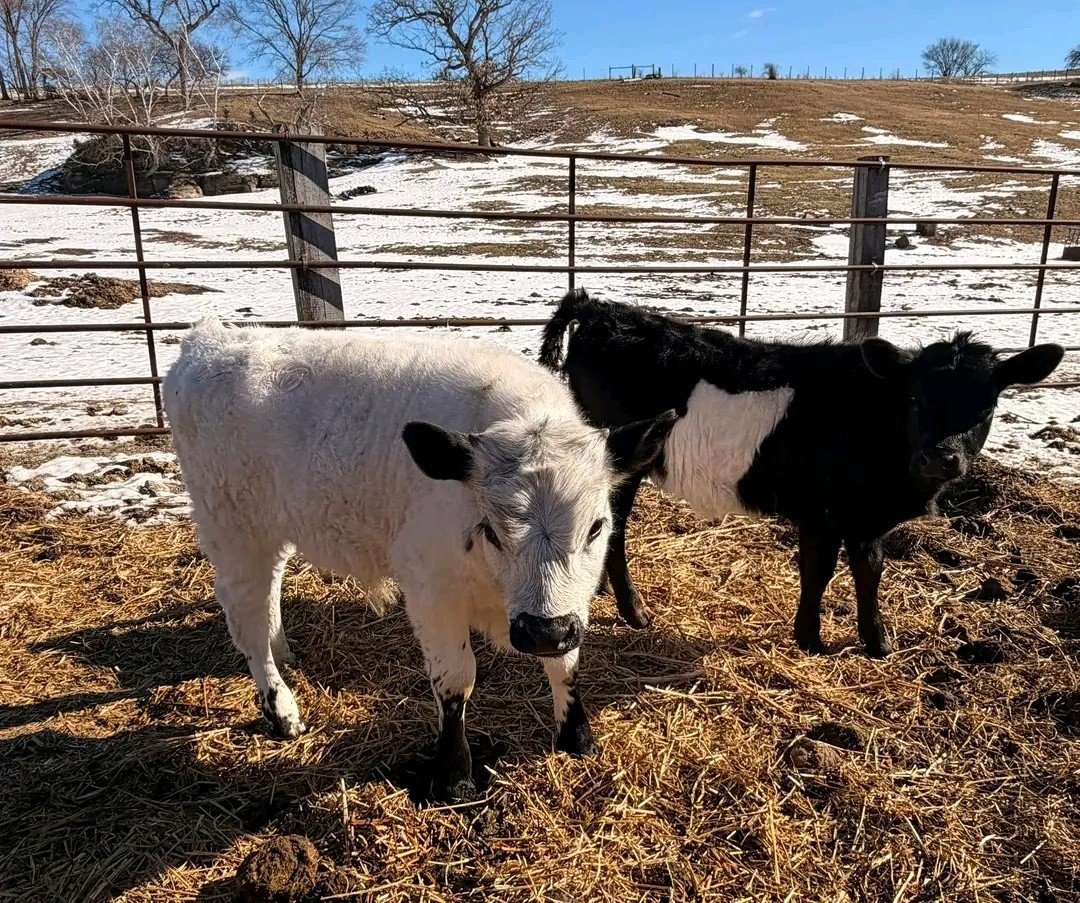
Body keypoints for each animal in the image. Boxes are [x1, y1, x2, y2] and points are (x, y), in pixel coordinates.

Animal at [164, 319, 676, 800]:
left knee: (269, 595)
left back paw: (285, 653)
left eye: (597, 526)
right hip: (235, 533)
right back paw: (281, 708)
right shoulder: (431, 589)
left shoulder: (569, 606)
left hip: (272, 533)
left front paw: (577, 736)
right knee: (246, 617)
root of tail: (209, 341)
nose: (543, 632)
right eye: (491, 530)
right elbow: (456, 679)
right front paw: (453, 776)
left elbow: (565, 664)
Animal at [539, 290, 1064, 658]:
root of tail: (600, 310)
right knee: (614, 530)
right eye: (914, 398)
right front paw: (811, 640)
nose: (940, 458)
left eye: (987, 407)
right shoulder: (823, 512)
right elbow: (819, 569)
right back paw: (636, 613)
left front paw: (878, 643)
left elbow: (870, 568)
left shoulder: (865, 518)